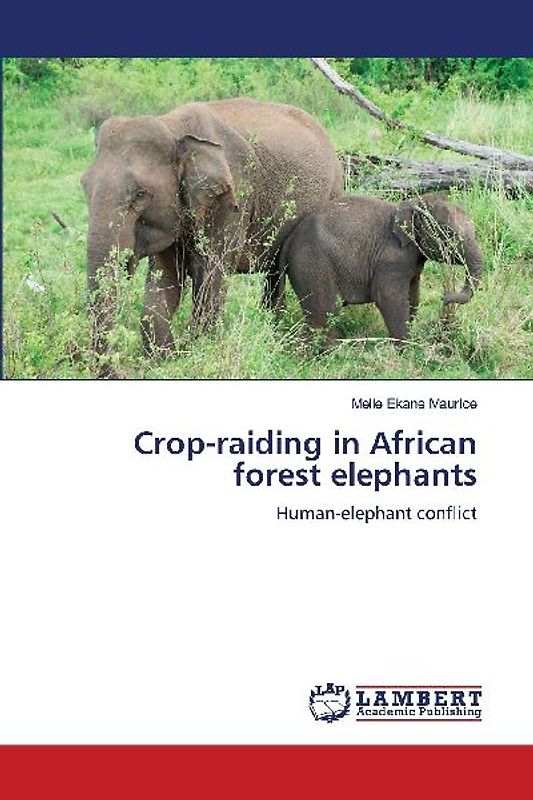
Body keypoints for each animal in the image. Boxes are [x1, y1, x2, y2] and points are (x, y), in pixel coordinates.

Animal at [80, 97, 343, 371]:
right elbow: (165, 276)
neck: (173, 127)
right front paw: (164, 360)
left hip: (333, 189)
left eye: (141, 194)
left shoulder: (233, 196)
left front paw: (197, 353)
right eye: (84, 187)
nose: (111, 370)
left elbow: (211, 274)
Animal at [274, 192, 483, 346]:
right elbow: (389, 298)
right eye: (449, 233)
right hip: (312, 264)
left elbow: (413, 297)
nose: (444, 296)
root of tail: (290, 238)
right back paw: (333, 351)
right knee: (325, 309)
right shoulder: (391, 258)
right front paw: (407, 350)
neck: (412, 203)